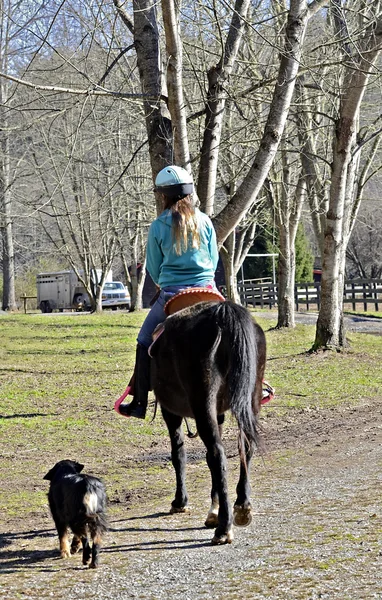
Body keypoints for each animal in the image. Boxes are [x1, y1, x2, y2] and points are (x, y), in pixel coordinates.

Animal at [149, 300, 266, 544]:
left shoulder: (170, 412)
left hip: (202, 404)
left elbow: (178, 454)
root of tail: (223, 315)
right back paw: (242, 506)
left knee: (217, 455)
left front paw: (180, 501)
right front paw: (214, 509)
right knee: (245, 448)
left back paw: (223, 528)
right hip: (250, 400)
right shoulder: (218, 414)